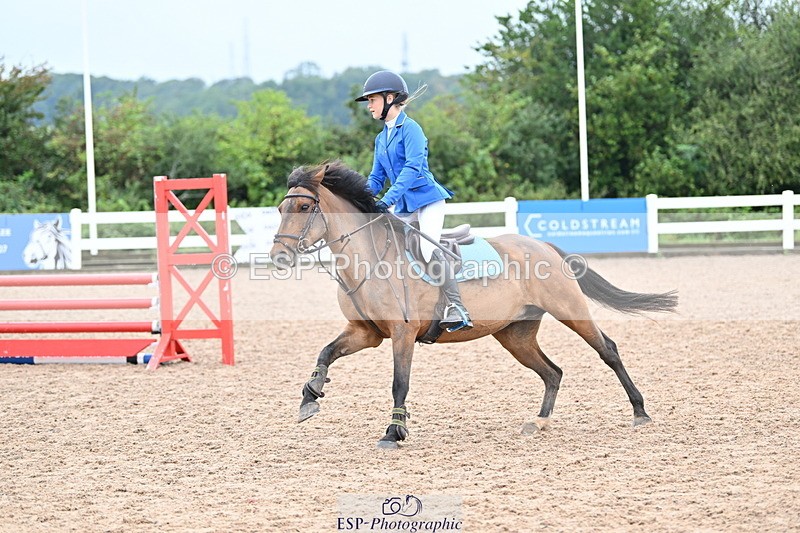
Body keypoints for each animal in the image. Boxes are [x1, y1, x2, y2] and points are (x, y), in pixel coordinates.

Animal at [270, 161, 677, 449]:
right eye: (279, 209)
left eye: (304, 206)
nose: (278, 256)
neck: (369, 259)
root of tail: (542, 245)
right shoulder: (365, 333)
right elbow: (325, 352)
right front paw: (310, 396)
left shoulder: (402, 333)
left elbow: (399, 383)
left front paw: (393, 432)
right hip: (515, 335)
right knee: (552, 372)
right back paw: (539, 421)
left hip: (569, 311)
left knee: (607, 350)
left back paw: (640, 412)